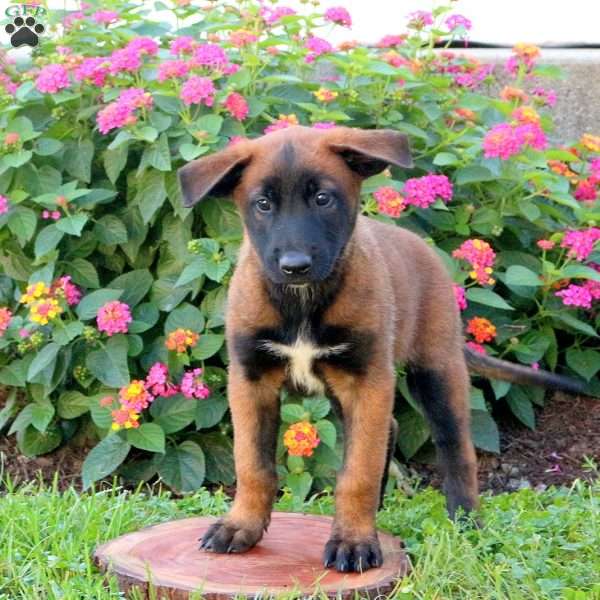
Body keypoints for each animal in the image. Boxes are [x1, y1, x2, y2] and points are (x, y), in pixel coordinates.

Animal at [177, 125, 580, 572]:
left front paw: (353, 541)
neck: (302, 301)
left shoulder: (366, 380)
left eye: (323, 199)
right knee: (391, 429)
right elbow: (252, 465)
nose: (294, 266)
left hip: (435, 371)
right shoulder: (251, 379)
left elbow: (358, 472)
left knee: (454, 447)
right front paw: (241, 526)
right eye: (262, 204)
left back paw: (465, 520)